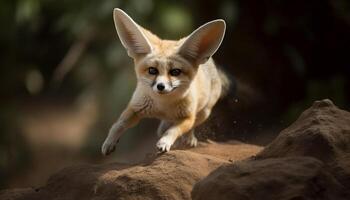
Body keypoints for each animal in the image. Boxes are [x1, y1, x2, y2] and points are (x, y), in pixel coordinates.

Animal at [100, 8, 230, 155]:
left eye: (175, 72)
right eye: (152, 70)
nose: (160, 86)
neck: (163, 107)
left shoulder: (187, 118)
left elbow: (173, 130)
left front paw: (165, 142)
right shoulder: (135, 107)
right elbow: (118, 124)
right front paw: (109, 142)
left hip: (204, 113)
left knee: (189, 126)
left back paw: (189, 138)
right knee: (163, 127)